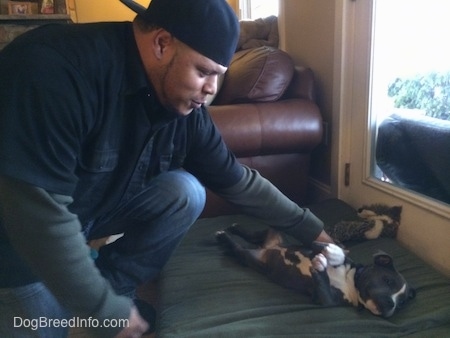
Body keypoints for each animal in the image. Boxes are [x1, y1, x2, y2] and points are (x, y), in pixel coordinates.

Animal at [216, 224, 416, 316]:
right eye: (388, 280)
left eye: (402, 303)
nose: (391, 305)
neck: (349, 280)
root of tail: (267, 248)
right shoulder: (313, 245)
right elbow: (331, 248)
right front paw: (332, 254)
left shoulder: (327, 300)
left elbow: (323, 286)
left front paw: (320, 265)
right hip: (274, 233)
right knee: (252, 235)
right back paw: (231, 230)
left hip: (252, 256)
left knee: (241, 247)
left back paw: (226, 237)